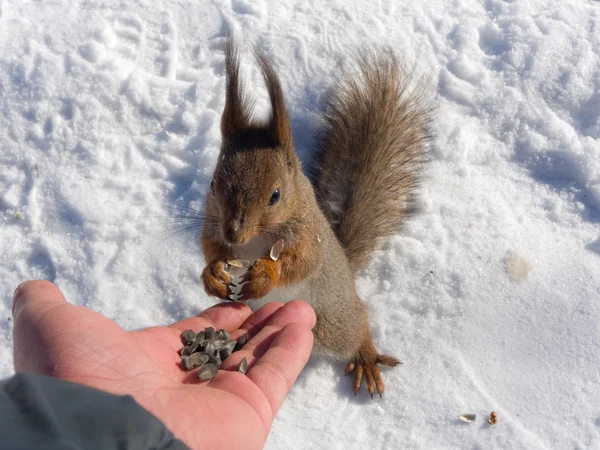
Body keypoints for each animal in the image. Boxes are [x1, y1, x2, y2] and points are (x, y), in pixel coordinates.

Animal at [200, 39, 432, 398]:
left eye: (276, 195)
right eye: (212, 185)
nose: (233, 234)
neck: (255, 240)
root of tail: (348, 276)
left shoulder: (309, 235)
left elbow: (303, 262)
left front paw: (266, 273)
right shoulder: (211, 223)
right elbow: (207, 243)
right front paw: (212, 273)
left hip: (333, 322)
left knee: (357, 324)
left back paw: (365, 355)